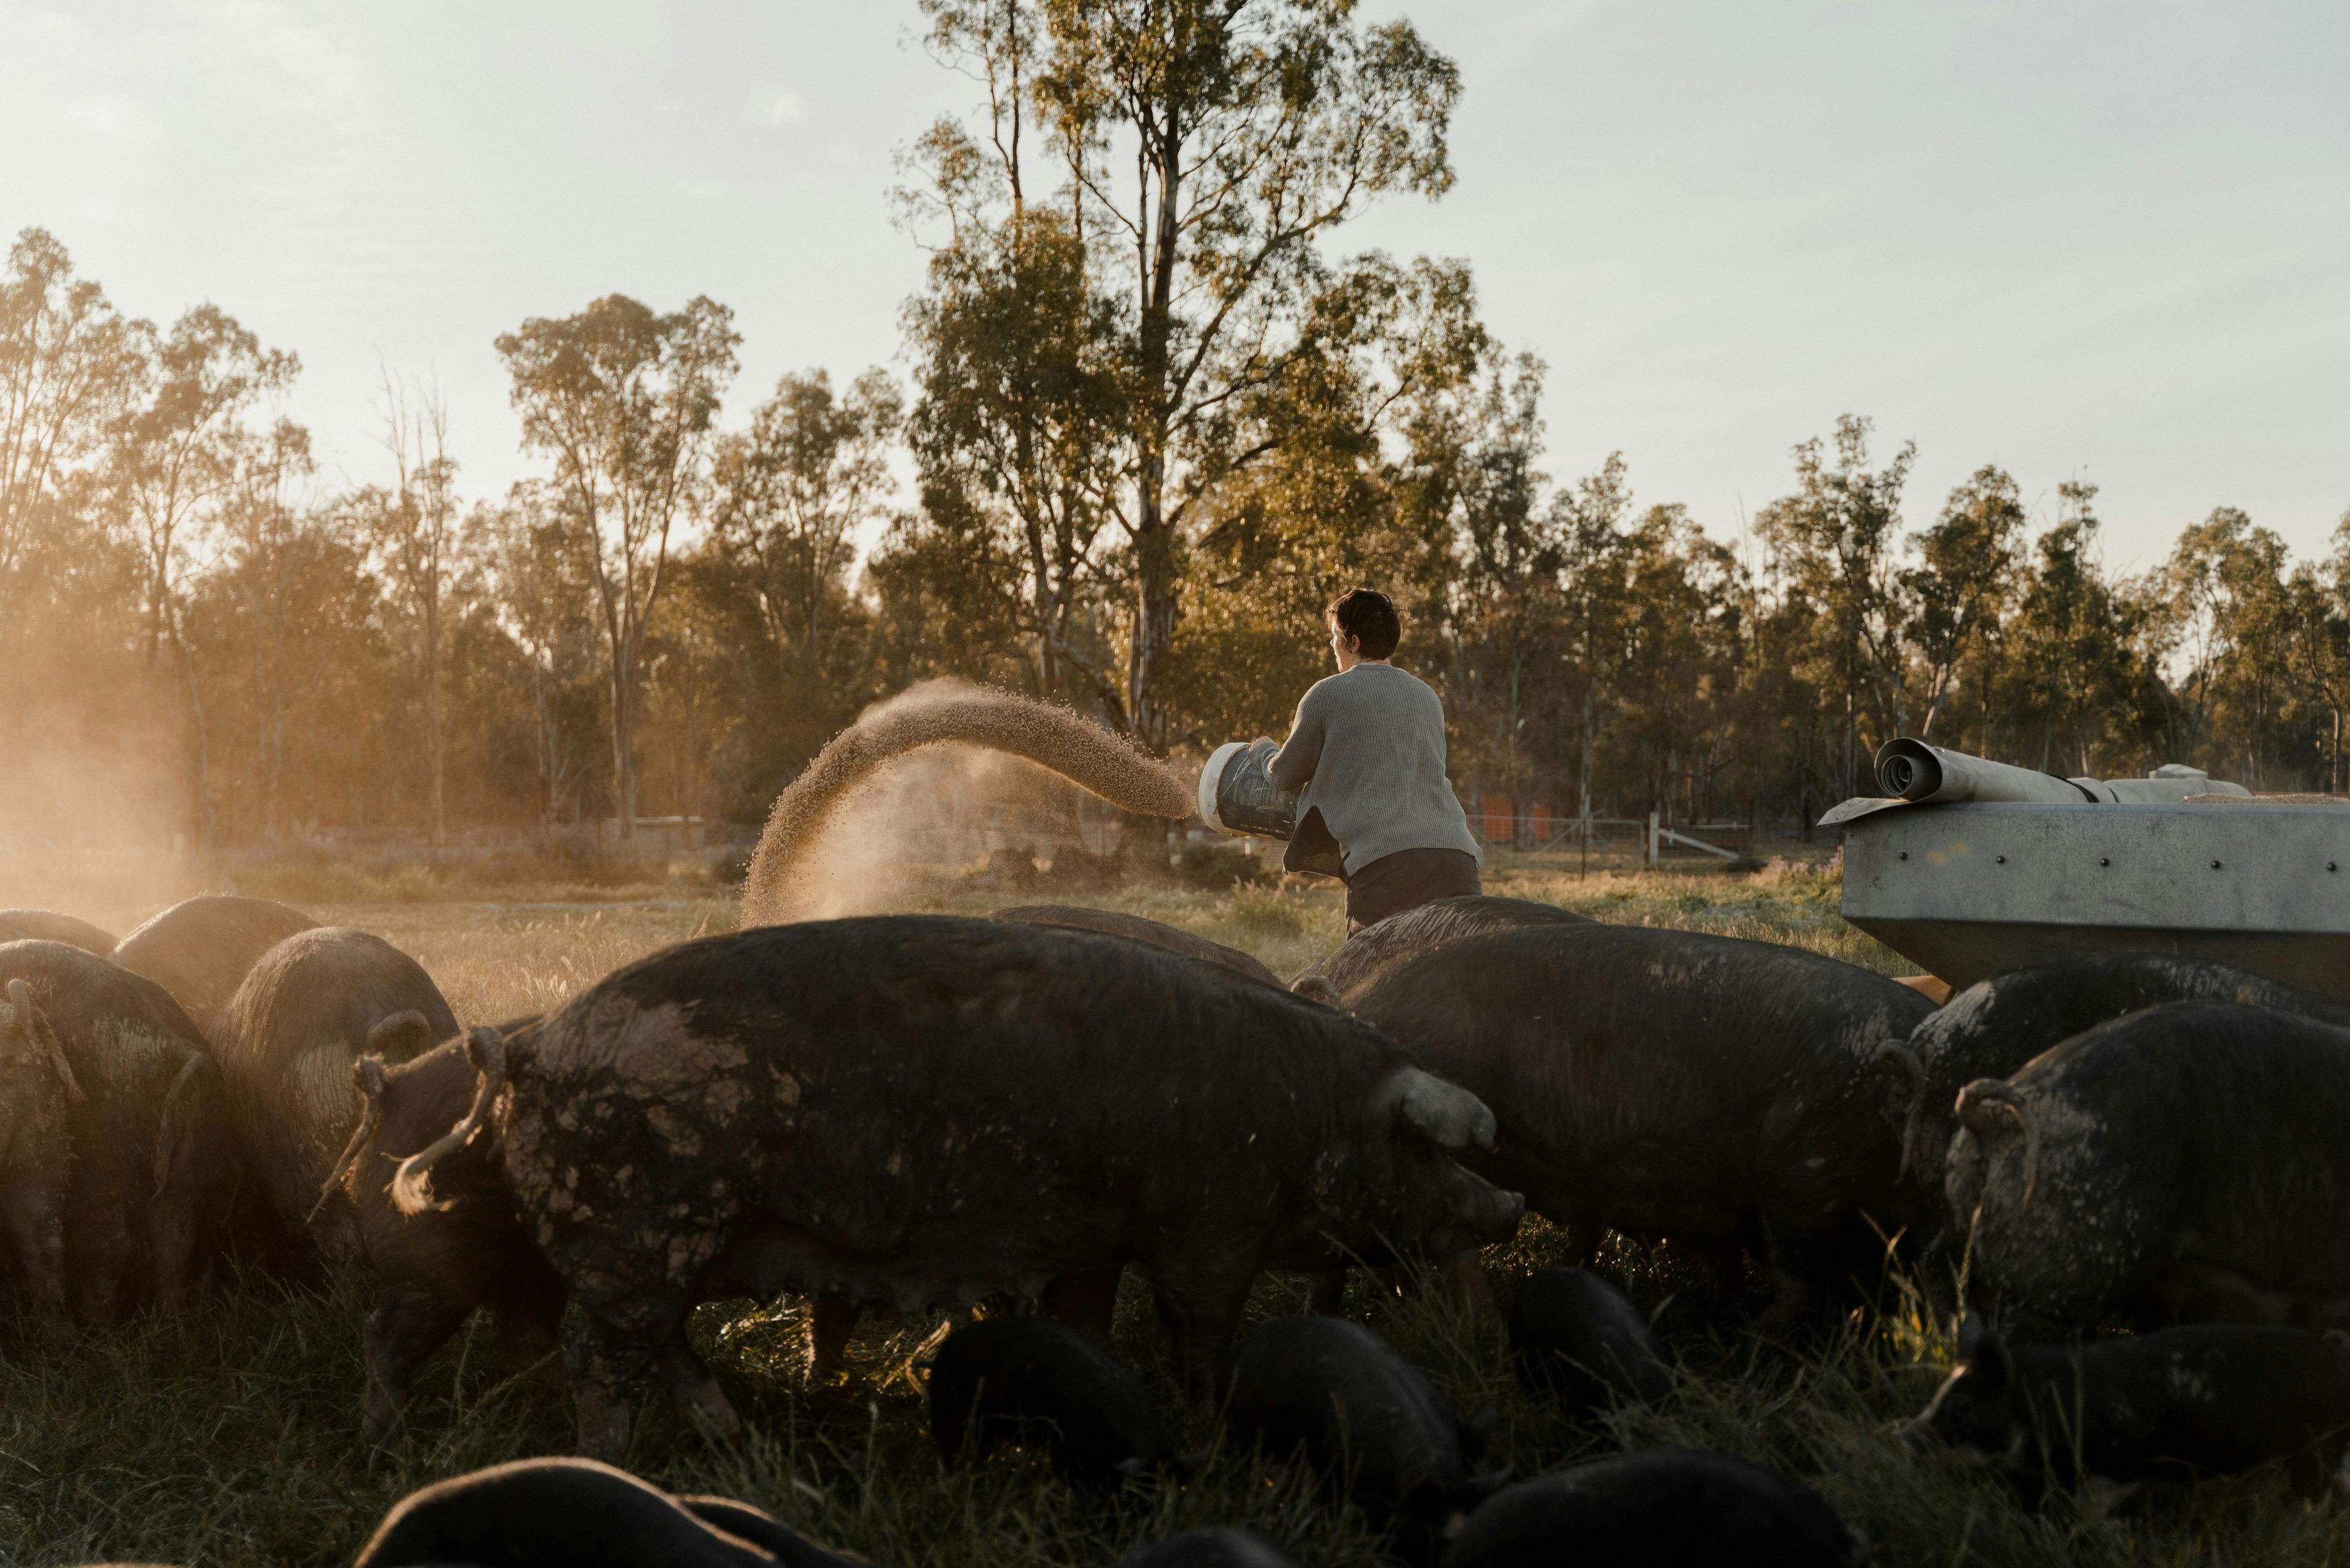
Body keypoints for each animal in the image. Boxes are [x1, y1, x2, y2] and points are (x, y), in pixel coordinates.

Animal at [0, 940, 227, 1325]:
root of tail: (173, 1044)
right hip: (190, 1168)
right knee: (175, 1242)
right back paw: (173, 1325)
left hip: (102, 1162)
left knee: (107, 1243)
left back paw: (97, 1328)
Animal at [388, 915, 1524, 1462]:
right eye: (1431, 1149)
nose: (1510, 1208)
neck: (1310, 1109)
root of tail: (529, 1050)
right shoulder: (1208, 1224)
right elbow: (1201, 1334)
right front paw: (1205, 1426)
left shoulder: (1091, 1238)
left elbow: (1086, 1322)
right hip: (644, 1225)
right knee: (601, 1356)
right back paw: (622, 1463)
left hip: (664, 1248)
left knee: (659, 1344)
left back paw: (733, 1437)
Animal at [1900, 1318, 2350, 1500]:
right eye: (1937, 1396)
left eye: (1961, 1407)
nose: (1901, 1435)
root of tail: (2337, 1354)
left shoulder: (2118, 1468)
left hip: (2321, 1444)